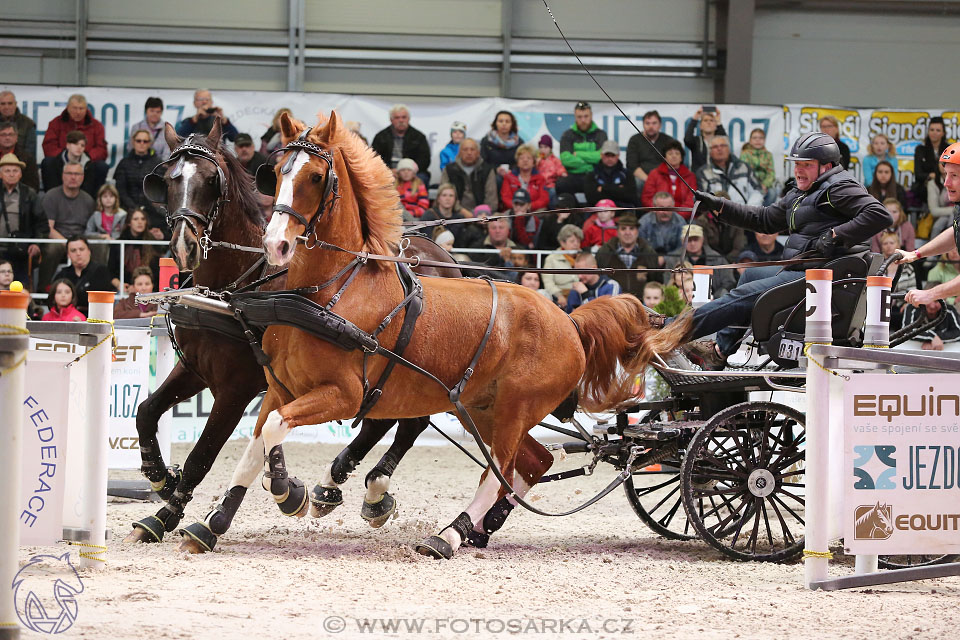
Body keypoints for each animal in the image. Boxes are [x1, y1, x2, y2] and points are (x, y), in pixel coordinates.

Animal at [208, 111, 688, 560]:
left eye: (314, 176)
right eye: (277, 171)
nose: (276, 244)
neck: (330, 292)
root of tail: (569, 321)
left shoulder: (342, 394)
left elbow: (274, 430)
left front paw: (287, 491)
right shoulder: (280, 387)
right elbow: (258, 440)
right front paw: (213, 523)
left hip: (515, 408)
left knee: (500, 468)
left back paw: (449, 534)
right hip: (482, 408)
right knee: (535, 462)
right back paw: (473, 528)